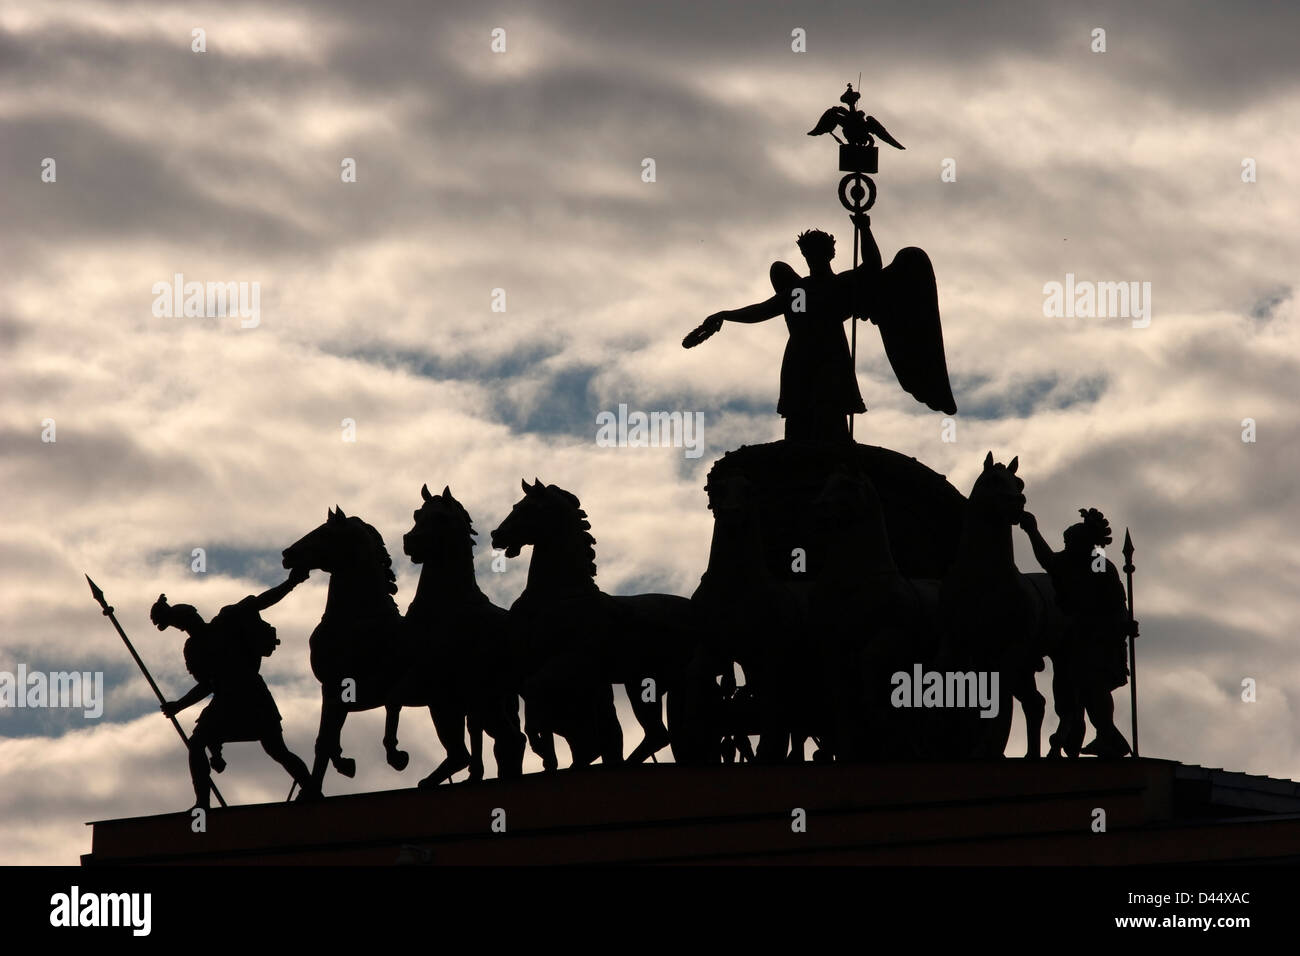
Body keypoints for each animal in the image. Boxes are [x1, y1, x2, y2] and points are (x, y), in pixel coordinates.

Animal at [382, 489, 525, 790]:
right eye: (417, 514)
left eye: (440, 517)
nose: (410, 541)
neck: (447, 604)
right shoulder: (437, 691)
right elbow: (393, 698)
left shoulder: (430, 678)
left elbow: (394, 697)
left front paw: (397, 755)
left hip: (486, 700)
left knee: (509, 741)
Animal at [488, 481, 712, 764]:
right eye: (516, 505)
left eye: (528, 508)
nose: (496, 534)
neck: (559, 594)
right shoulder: (529, 662)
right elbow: (534, 695)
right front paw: (545, 746)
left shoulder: (573, 660)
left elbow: (536, 689)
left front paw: (539, 741)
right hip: (643, 681)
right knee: (661, 734)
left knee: (664, 733)